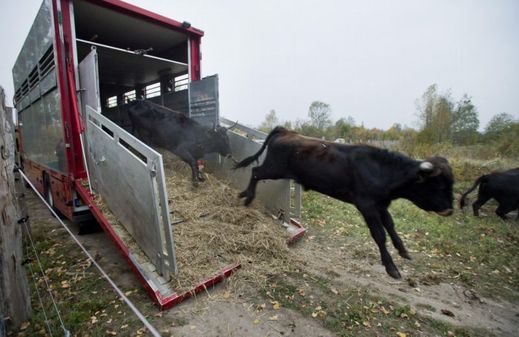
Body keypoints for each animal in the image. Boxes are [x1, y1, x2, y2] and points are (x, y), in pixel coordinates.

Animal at [236, 126, 456, 278]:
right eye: (438, 185)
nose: (450, 210)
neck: (382, 170)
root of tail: (287, 131)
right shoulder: (367, 205)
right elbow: (379, 235)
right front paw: (391, 267)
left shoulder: (381, 205)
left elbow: (391, 227)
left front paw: (403, 250)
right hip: (274, 168)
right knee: (255, 172)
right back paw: (247, 196)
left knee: (255, 171)